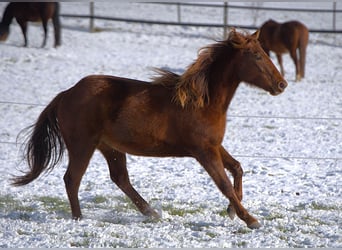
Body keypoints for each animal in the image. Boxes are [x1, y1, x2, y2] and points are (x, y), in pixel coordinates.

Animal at [12, 30, 288, 229]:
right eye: (257, 56)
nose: (281, 84)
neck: (203, 101)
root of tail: (66, 93)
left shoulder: (214, 146)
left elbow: (237, 168)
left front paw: (232, 211)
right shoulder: (203, 151)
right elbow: (224, 184)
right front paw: (250, 219)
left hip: (109, 147)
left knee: (120, 178)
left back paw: (151, 212)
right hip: (83, 145)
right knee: (72, 179)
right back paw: (79, 219)